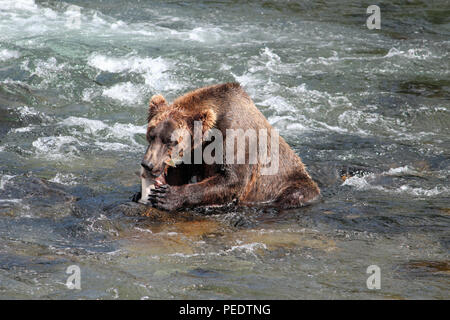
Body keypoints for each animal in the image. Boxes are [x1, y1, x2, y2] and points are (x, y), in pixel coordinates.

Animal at [134, 82, 320, 211]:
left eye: (171, 141)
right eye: (150, 135)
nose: (148, 164)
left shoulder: (235, 138)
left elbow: (232, 179)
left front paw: (167, 196)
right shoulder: (196, 152)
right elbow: (181, 172)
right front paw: (144, 193)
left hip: (291, 183)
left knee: (294, 194)